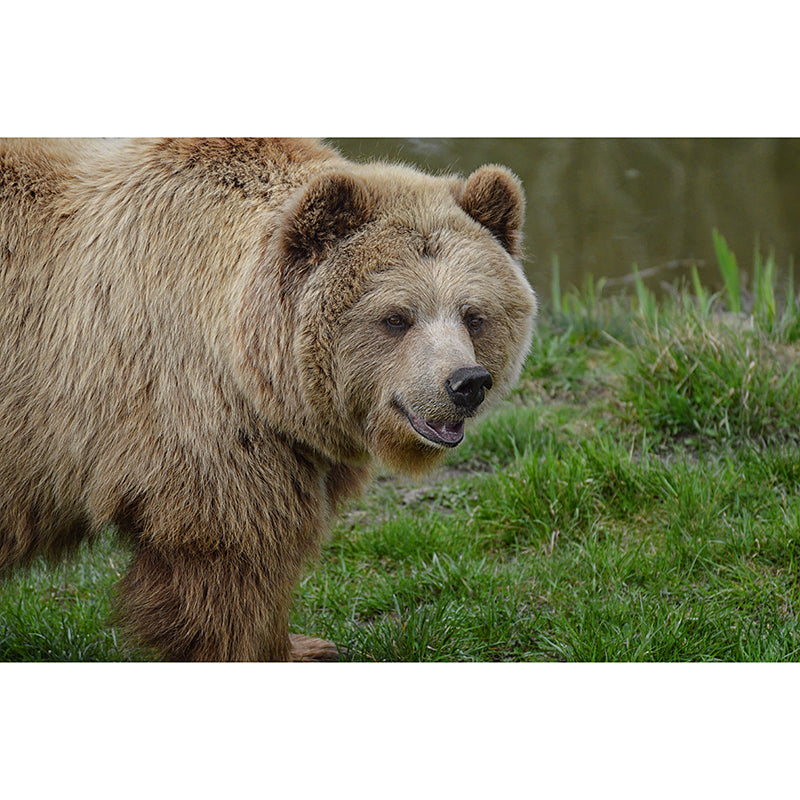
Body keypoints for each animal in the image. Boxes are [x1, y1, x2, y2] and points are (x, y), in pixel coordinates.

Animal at [0, 138, 537, 661]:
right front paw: (269, 647)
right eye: (396, 317)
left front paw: (305, 644)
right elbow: (233, 557)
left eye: (473, 315)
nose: (466, 382)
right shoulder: (195, 419)